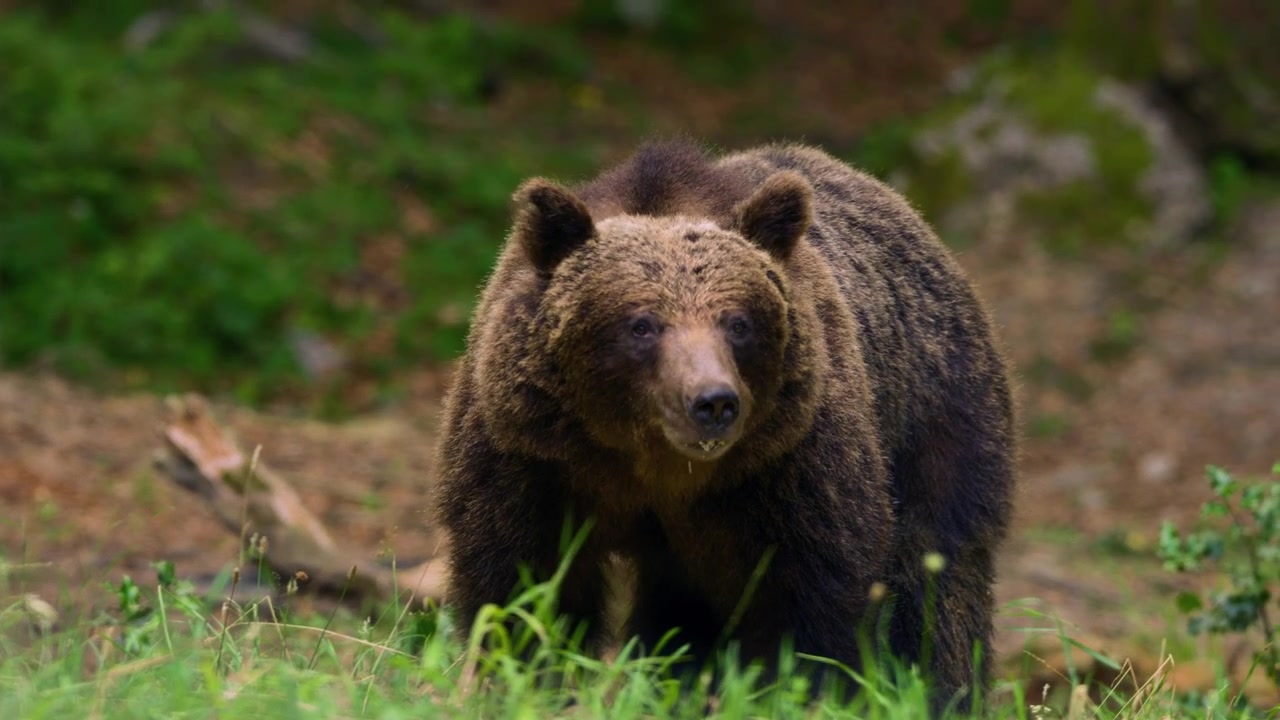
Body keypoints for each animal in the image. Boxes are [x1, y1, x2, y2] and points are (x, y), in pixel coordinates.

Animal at [432, 139, 1016, 711]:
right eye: (641, 325)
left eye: (738, 323)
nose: (713, 402)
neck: (655, 465)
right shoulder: (533, 458)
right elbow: (525, 586)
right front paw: (524, 682)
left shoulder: (791, 464)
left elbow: (815, 599)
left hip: (937, 418)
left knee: (935, 577)